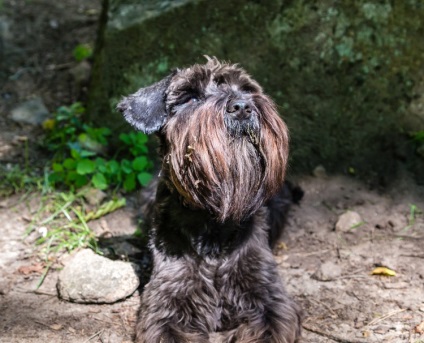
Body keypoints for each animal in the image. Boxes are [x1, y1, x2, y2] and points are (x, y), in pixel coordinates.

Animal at [117, 57, 302, 342]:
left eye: (246, 89)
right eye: (191, 97)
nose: (242, 106)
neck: (212, 220)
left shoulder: (268, 299)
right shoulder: (169, 302)